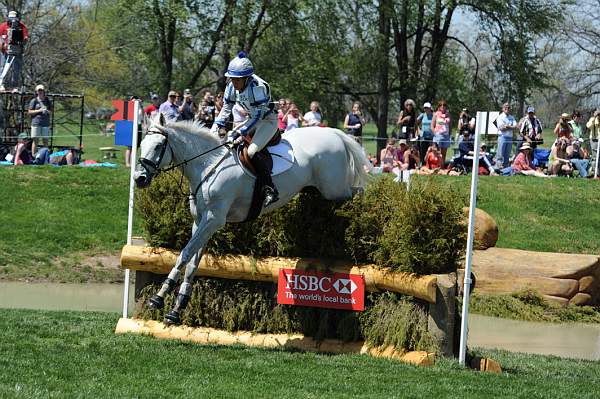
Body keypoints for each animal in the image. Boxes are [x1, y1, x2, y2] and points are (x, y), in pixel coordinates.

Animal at [136, 117, 370, 326]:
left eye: (158, 146)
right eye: (141, 145)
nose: (139, 179)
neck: (208, 166)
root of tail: (335, 134)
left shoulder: (213, 219)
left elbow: (184, 254)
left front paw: (158, 297)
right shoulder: (201, 221)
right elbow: (193, 261)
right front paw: (177, 308)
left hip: (336, 190)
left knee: (359, 192)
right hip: (325, 190)